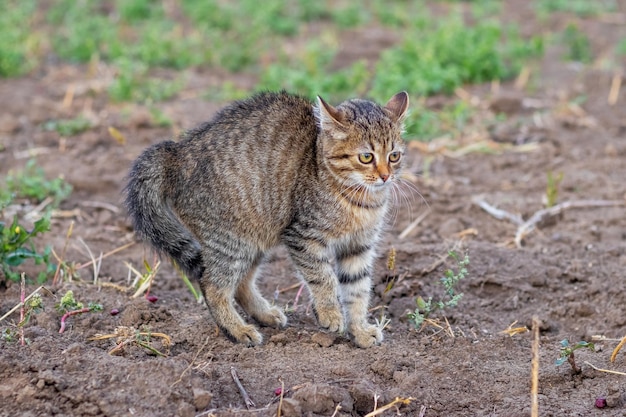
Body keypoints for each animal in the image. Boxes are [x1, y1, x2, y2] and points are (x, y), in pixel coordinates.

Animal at [125, 91, 410, 348]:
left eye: (394, 156)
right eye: (366, 157)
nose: (385, 176)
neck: (361, 200)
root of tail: (178, 150)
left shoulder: (359, 246)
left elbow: (358, 290)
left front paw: (359, 330)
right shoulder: (303, 236)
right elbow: (323, 277)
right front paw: (330, 313)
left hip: (254, 236)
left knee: (240, 284)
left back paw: (264, 315)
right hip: (231, 240)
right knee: (212, 285)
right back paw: (237, 329)